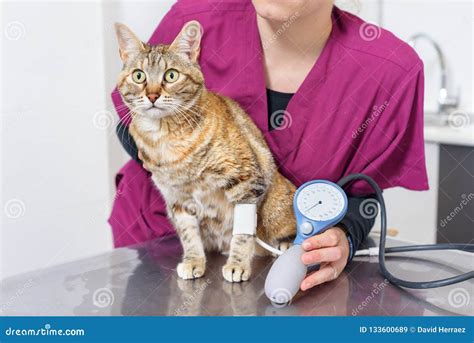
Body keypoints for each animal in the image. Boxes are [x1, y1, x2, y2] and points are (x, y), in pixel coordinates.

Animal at [114, 20, 296, 282]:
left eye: (171, 75)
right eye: (139, 76)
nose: (152, 95)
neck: (165, 138)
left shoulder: (246, 180)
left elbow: (242, 233)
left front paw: (238, 263)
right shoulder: (178, 199)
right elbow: (188, 234)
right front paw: (193, 261)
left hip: (276, 207)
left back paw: (286, 244)